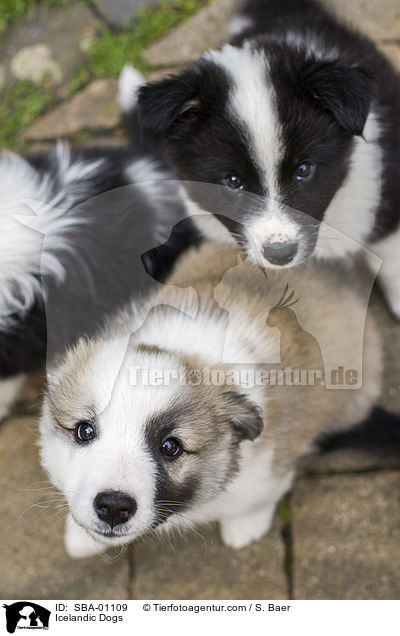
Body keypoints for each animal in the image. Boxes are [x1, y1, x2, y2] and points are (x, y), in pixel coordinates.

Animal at [39, 243, 382, 556]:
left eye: (170, 447)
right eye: (84, 431)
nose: (113, 506)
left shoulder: (275, 461)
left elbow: (262, 494)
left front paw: (245, 526)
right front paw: (79, 538)